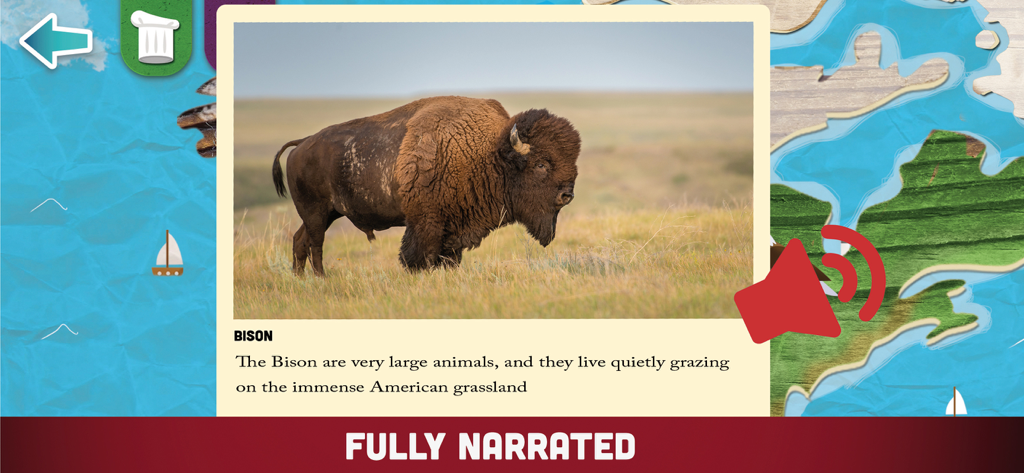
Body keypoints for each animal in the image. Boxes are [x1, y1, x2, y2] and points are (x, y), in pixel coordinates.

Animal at [271, 96, 581, 275]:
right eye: (541, 164)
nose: (567, 195)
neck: (487, 152)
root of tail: (302, 144)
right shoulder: (426, 222)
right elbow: (420, 256)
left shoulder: (454, 227)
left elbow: (449, 258)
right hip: (316, 212)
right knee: (315, 244)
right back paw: (320, 278)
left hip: (327, 214)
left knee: (300, 240)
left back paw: (301, 279)